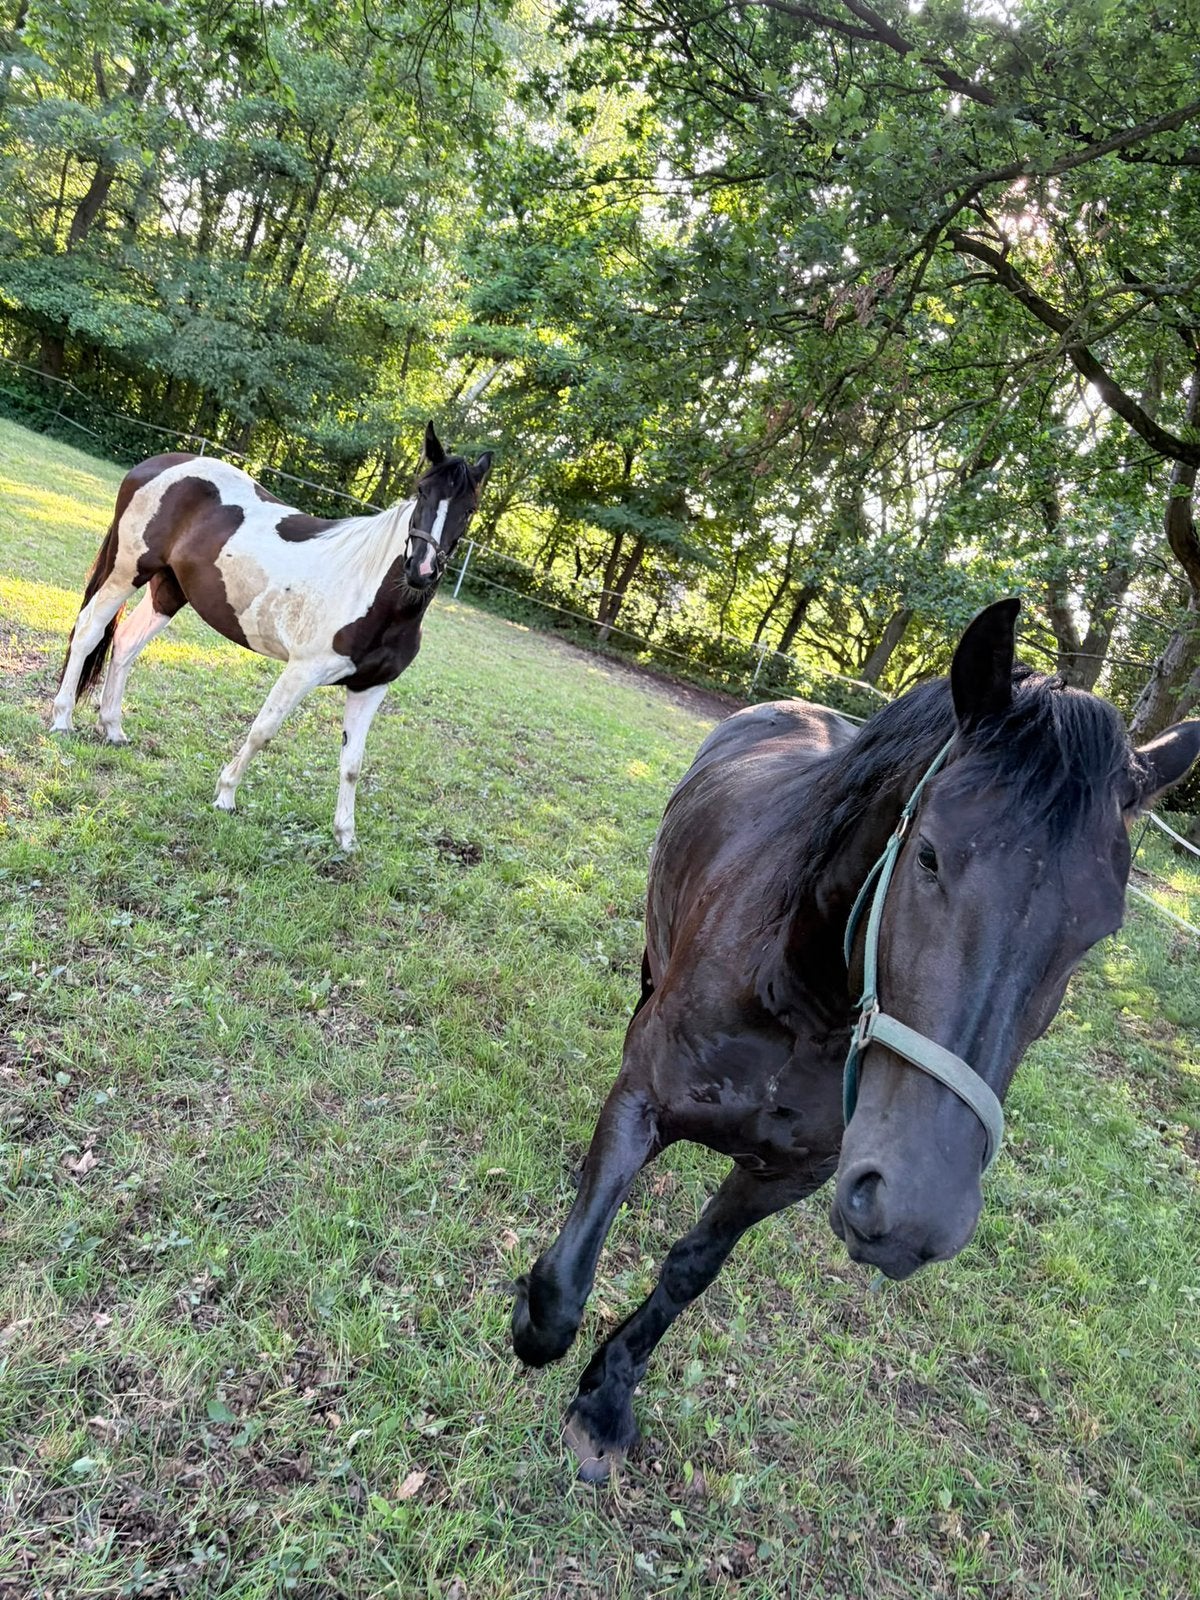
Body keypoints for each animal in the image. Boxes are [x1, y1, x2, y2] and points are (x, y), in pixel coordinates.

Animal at [50, 424, 490, 849]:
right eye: (422, 491)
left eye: (469, 510)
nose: (421, 570)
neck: (374, 593)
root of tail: (155, 465)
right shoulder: (302, 671)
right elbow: (263, 731)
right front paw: (225, 795)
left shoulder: (370, 687)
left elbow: (352, 764)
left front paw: (346, 837)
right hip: (128, 571)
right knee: (89, 631)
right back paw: (62, 720)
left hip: (168, 590)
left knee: (125, 645)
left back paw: (113, 729)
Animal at [512, 598, 1200, 1481]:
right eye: (930, 855)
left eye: (1101, 929)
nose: (916, 1211)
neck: (798, 999)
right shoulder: (642, 1098)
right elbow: (563, 1291)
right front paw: (533, 1321)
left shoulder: (789, 1176)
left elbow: (690, 1270)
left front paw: (606, 1400)